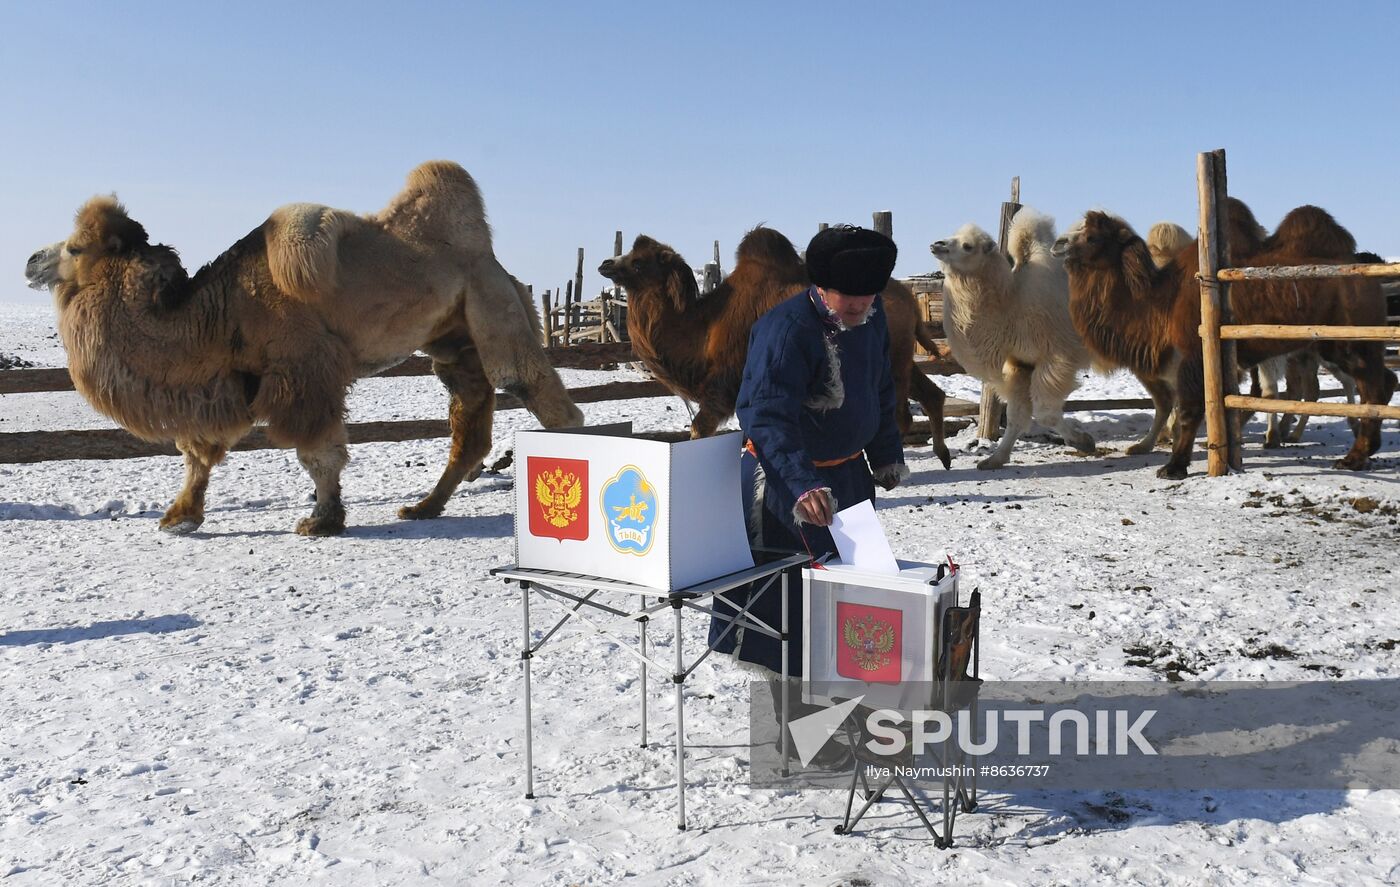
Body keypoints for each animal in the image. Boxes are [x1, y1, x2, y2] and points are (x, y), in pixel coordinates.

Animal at [27, 160, 585, 531]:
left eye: (75, 247)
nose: (31, 260)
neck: (218, 311)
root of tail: (497, 263)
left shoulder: (303, 369)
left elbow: (318, 452)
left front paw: (322, 520)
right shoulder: (231, 380)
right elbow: (200, 451)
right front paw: (179, 517)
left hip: (493, 307)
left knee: (539, 395)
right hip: (453, 340)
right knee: (470, 426)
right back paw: (423, 508)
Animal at [596, 223, 957, 467]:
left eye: (639, 262)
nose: (605, 264)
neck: (704, 326)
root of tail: (910, 301)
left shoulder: (723, 387)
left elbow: (701, 428)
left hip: (890, 363)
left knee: (898, 415)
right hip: (902, 357)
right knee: (930, 395)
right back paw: (942, 455)